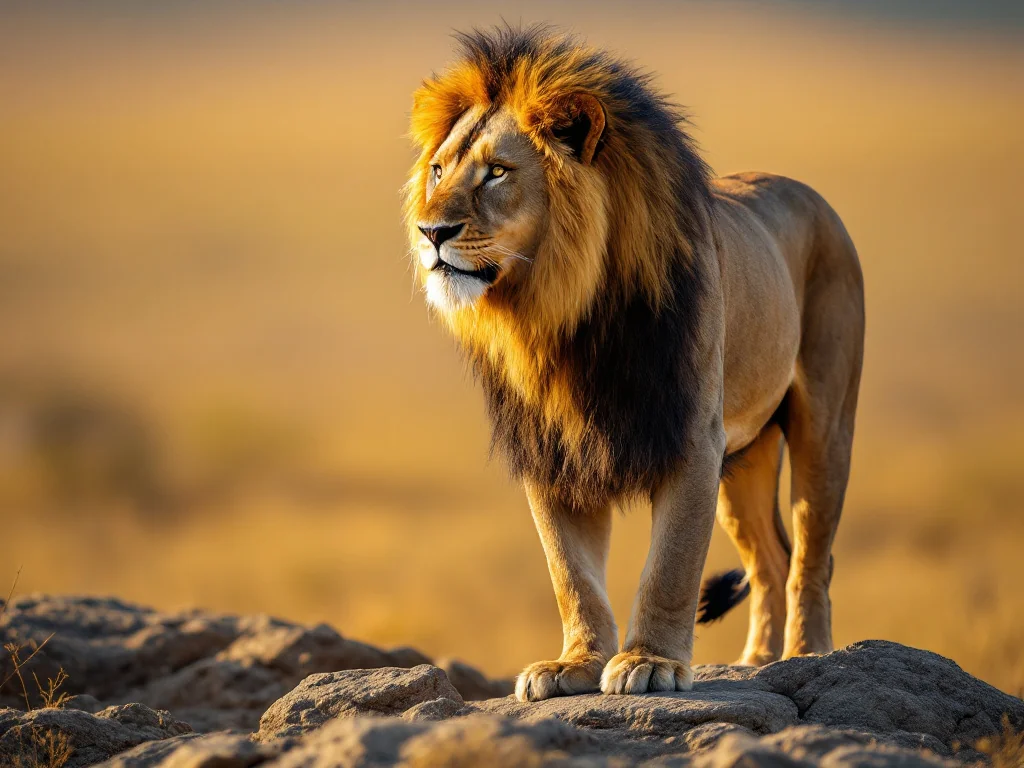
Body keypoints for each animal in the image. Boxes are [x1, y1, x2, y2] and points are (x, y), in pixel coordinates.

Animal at [404, 26, 864, 702]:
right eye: (438, 170)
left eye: (497, 172)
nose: (430, 231)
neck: (561, 316)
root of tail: (812, 196)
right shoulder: (555, 450)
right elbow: (571, 574)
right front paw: (573, 664)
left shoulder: (691, 437)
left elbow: (670, 566)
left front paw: (651, 662)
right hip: (745, 458)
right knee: (770, 560)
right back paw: (756, 660)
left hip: (822, 425)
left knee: (810, 554)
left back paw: (806, 654)